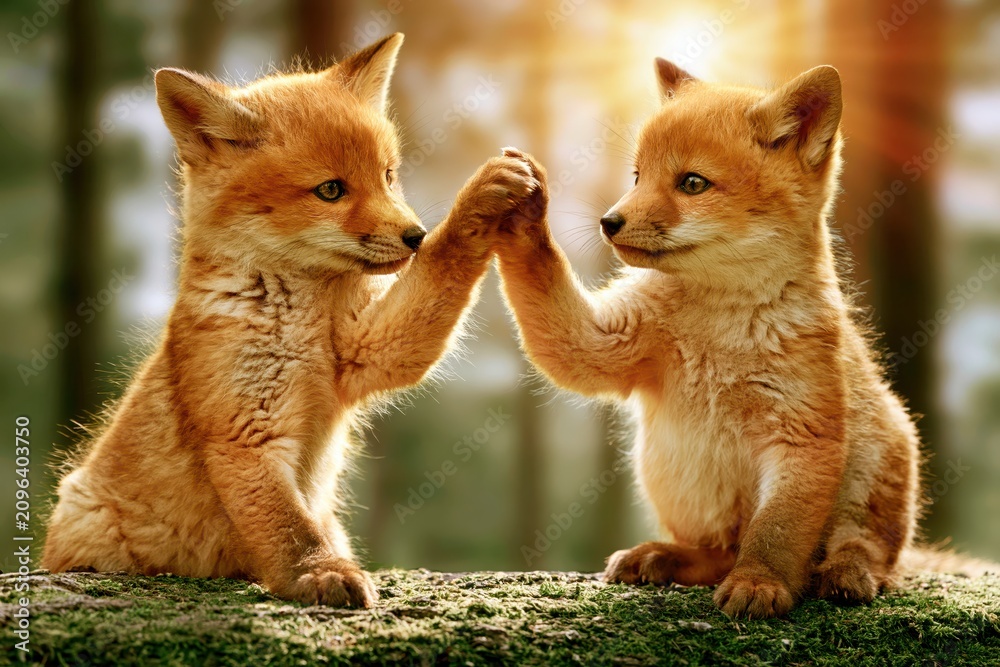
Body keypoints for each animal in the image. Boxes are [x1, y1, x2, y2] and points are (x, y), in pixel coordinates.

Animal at [41, 33, 539, 607]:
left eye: (388, 175)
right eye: (331, 190)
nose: (415, 235)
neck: (304, 315)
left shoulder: (369, 348)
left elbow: (441, 270)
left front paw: (483, 200)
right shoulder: (245, 431)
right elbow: (288, 526)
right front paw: (317, 573)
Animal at [493, 62, 972, 618]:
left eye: (692, 183)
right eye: (637, 177)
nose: (609, 222)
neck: (721, 325)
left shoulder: (803, 434)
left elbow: (776, 532)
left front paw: (760, 582)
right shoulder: (600, 342)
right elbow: (551, 308)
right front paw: (521, 208)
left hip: (881, 458)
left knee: (869, 551)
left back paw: (846, 573)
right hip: (675, 475)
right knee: (720, 551)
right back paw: (664, 557)